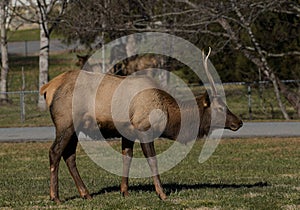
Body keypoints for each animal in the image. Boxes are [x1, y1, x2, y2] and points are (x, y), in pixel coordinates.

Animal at [40, 48, 241, 203]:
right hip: (65, 123)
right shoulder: (144, 128)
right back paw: (55, 197)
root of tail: (48, 88)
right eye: (220, 108)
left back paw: (86, 194)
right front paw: (162, 194)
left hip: (76, 128)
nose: (239, 122)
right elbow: (152, 160)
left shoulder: (128, 133)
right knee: (55, 152)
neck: (168, 113)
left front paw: (125, 191)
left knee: (69, 155)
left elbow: (126, 158)